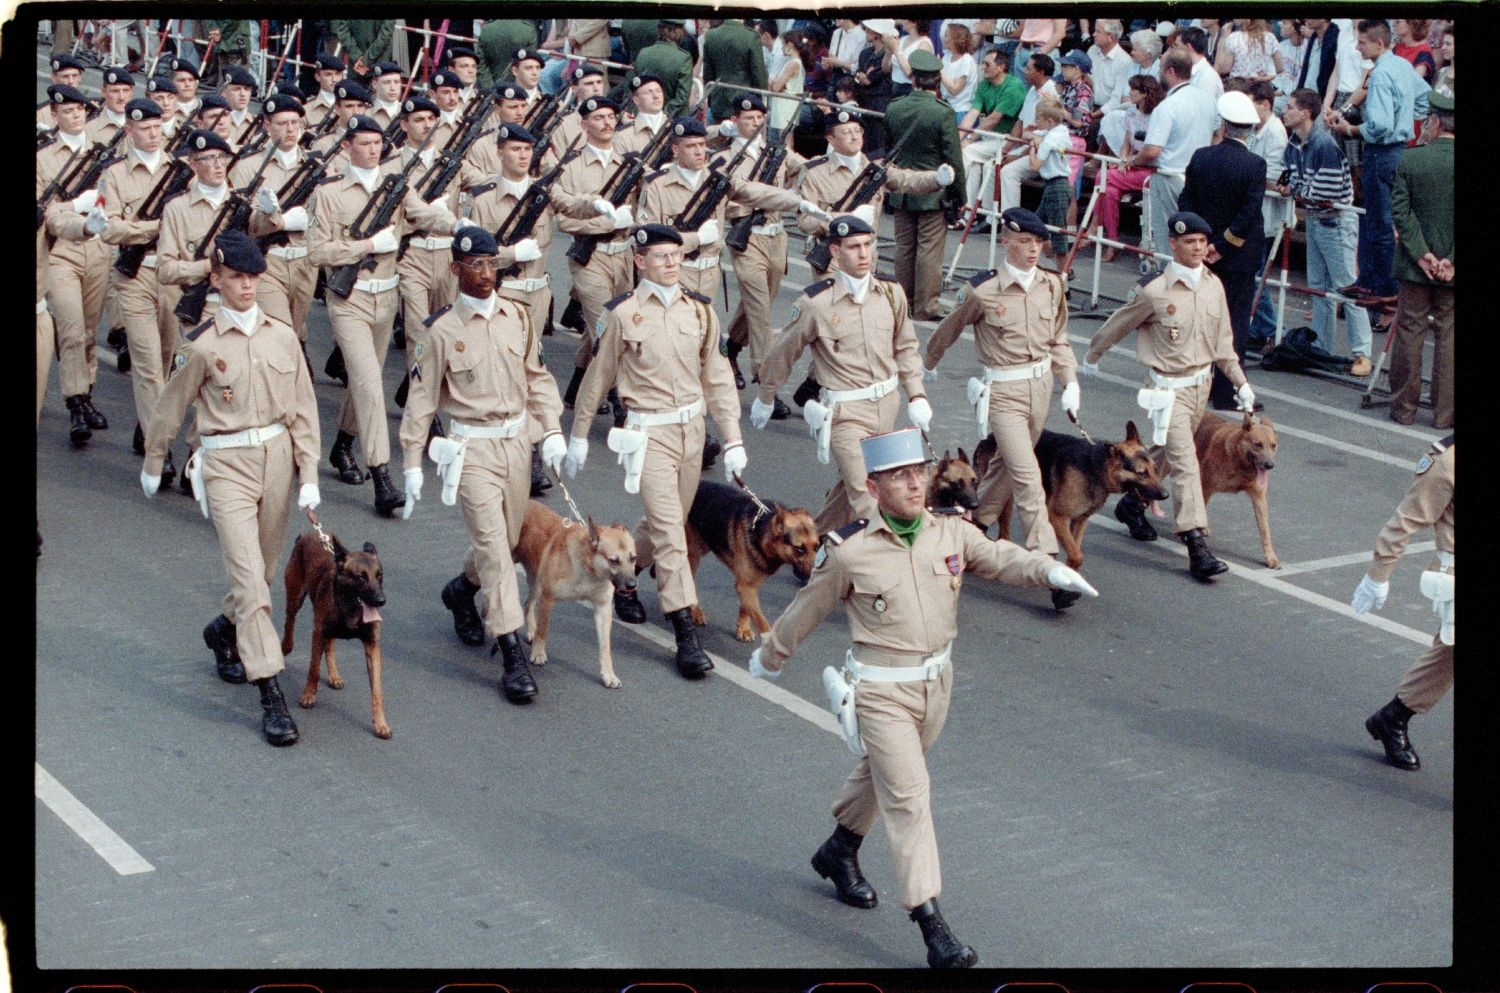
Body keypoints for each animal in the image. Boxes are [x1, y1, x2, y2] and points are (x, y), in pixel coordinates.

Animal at [279, 537, 390, 738]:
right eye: (361, 577)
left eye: (379, 575)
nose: (381, 601)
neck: (351, 608)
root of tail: (306, 535)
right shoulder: (317, 633)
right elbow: (314, 670)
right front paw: (308, 695)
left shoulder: (372, 647)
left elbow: (377, 692)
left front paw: (380, 723)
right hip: (295, 598)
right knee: (289, 622)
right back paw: (286, 646)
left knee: (330, 646)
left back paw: (334, 676)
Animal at [513, 501, 636, 690]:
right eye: (614, 561)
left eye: (633, 559)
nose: (632, 585)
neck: (588, 570)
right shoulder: (548, 599)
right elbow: (543, 631)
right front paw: (538, 653)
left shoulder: (603, 610)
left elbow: (605, 647)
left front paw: (608, 674)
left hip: (536, 582)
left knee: (528, 603)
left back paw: (531, 630)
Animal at [687, 483, 822, 642]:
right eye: (799, 549)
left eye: (816, 547)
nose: (817, 574)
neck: (760, 532)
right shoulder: (745, 586)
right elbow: (762, 621)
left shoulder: (750, 585)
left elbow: (746, 609)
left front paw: (743, 629)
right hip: (693, 555)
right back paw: (696, 612)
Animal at [972, 423, 1170, 576]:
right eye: (1142, 473)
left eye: (1154, 469)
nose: (1165, 495)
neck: (1095, 467)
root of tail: (987, 438)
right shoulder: (1057, 517)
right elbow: (1076, 555)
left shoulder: (1080, 521)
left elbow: (1075, 549)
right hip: (1005, 494)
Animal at [1182, 411, 1278, 567]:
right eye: (1258, 444)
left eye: (1273, 446)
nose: (1270, 465)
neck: (1239, 464)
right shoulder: (1205, 486)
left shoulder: (1259, 498)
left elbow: (1265, 532)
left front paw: (1270, 557)